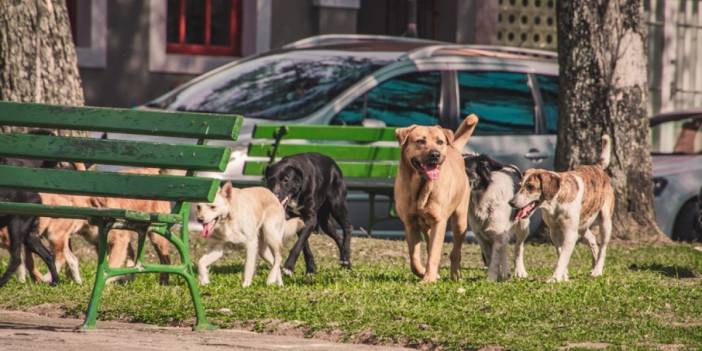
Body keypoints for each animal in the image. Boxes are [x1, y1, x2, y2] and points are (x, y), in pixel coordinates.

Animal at [394, 115, 482, 284]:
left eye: (440, 142)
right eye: (420, 141)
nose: (435, 154)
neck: (421, 186)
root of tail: (453, 148)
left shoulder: (439, 222)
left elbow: (434, 253)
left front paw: (429, 279)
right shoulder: (410, 223)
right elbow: (414, 258)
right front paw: (423, 273)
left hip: (460, 220)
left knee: (455, 252)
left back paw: (455, 275)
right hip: (427, 226)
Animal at [512, 135, 616, 284]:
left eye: (530, 187)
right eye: (519, 185)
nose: (511, 203)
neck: (554, 204)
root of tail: (596, 166)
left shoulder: (570, 233)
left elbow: (562, 258)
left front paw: (555, 278)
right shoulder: (554, 232)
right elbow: (560, 253)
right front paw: (564, 276)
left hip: (605, 222)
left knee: (603, 247)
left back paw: (597, 270)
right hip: (582, 225)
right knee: (592, 239)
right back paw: (593, 264)